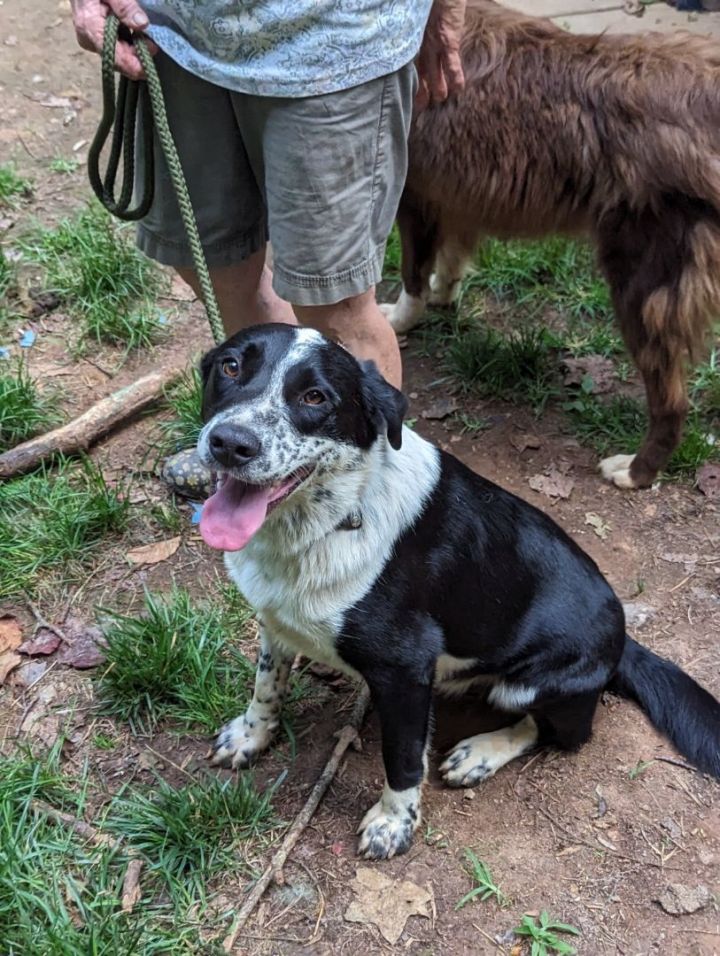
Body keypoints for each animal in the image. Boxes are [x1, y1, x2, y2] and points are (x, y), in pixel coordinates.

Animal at [197, 324, 720, 864]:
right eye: (230, 366)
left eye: (315, 397)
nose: (230, 443)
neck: (334, 517)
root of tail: (623, 638)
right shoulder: (274, 621)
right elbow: (266, 686)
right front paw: (251, 736)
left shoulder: (405, 669)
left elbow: (403, 758)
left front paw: (393, 823)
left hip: (529, 684)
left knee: (560, 733)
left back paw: (481, 753)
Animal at [386, 0, 720, 490]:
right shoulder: (456, 199)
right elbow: (450, 259)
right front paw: (444, 296)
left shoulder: (414, 195)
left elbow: (413, 272)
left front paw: (400, 318)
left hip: (641, 279)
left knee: (671, 400)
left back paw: (633, 471)